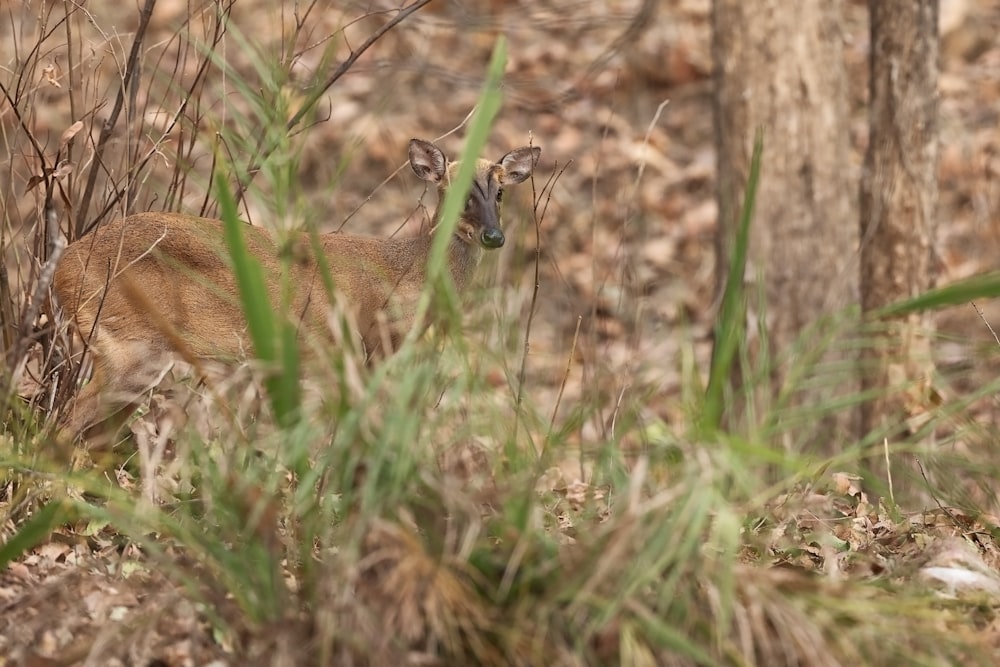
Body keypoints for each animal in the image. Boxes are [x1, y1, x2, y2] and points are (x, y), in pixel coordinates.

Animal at [52, 140, 540, 444]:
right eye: (453, 191)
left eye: (500, 192)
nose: (494, 237)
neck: (410, 270)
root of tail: (62, 267)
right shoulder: (373, 345)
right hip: (126, 346)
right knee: (64, 427)